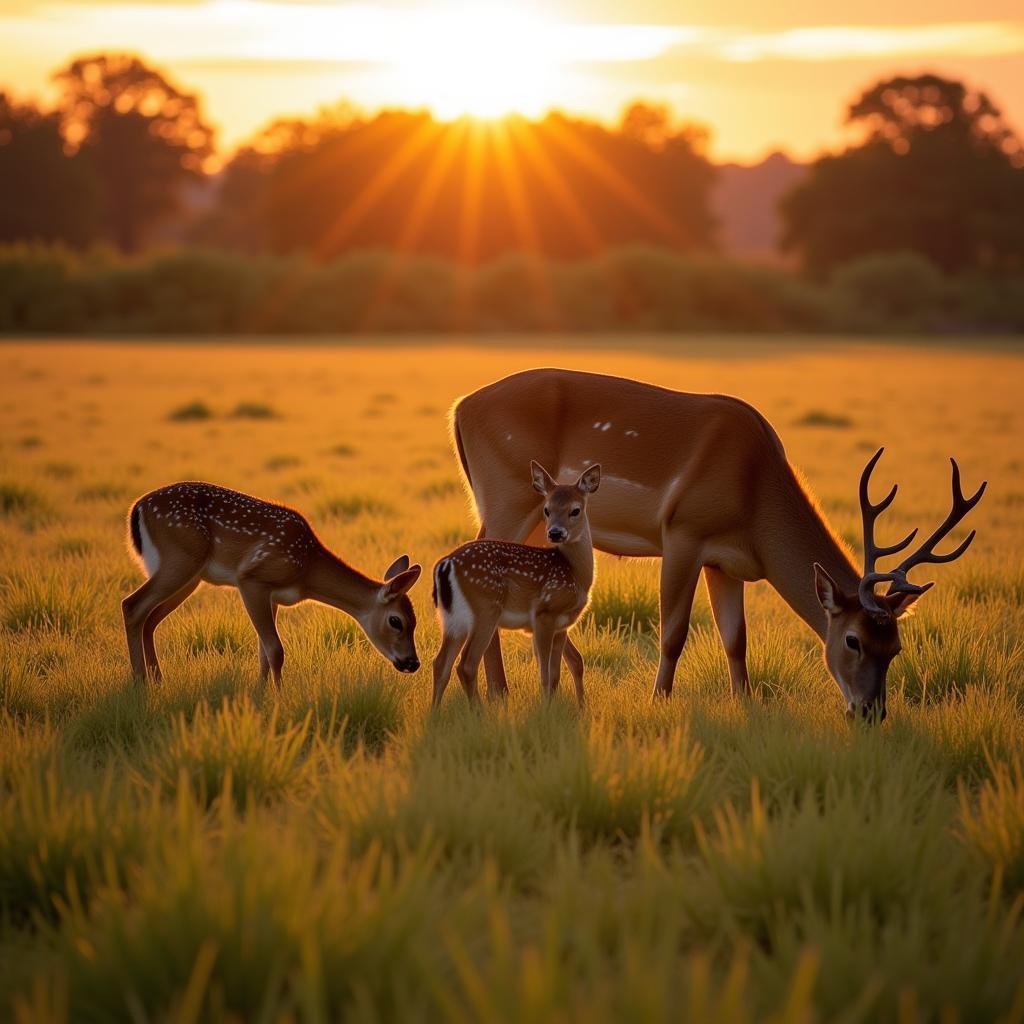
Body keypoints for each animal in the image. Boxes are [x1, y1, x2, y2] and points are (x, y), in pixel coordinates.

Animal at [122, 481, 419, 688]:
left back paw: (158, 680)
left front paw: (261, 695)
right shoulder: (252, 578)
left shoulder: (273, 596)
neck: (306, 569)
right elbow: (276, 650)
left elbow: (264, 652)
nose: (413, 663)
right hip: (180, 560)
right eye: (396, 621)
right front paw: (280, 697)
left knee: (150, 619)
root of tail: (137, 509)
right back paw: (140, 683)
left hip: (188, 575)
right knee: (132, 605)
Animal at [425, 462, 598, 708]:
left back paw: (435, 713)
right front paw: (544, 710)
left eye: (575, 510)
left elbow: (557, 674)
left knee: (440, 664)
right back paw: (479, 712)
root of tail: (445, 565)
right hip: (486, 610)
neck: (576, 573)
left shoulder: (562, 625)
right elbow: (545, 675)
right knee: (466, 664)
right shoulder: (544, 615)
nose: (555, 533)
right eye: (546, 510)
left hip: (452, 619)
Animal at [448, 368, 983, 720]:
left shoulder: (725, 562)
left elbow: (735, 637)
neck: (755, 500)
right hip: (509, 494)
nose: (871, 713)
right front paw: (658, 702)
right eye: (852, 640)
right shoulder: (683, 530)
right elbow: (673, 631)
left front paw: (744, 703)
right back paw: (498, 693)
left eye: (895, 648)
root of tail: (460, 408)